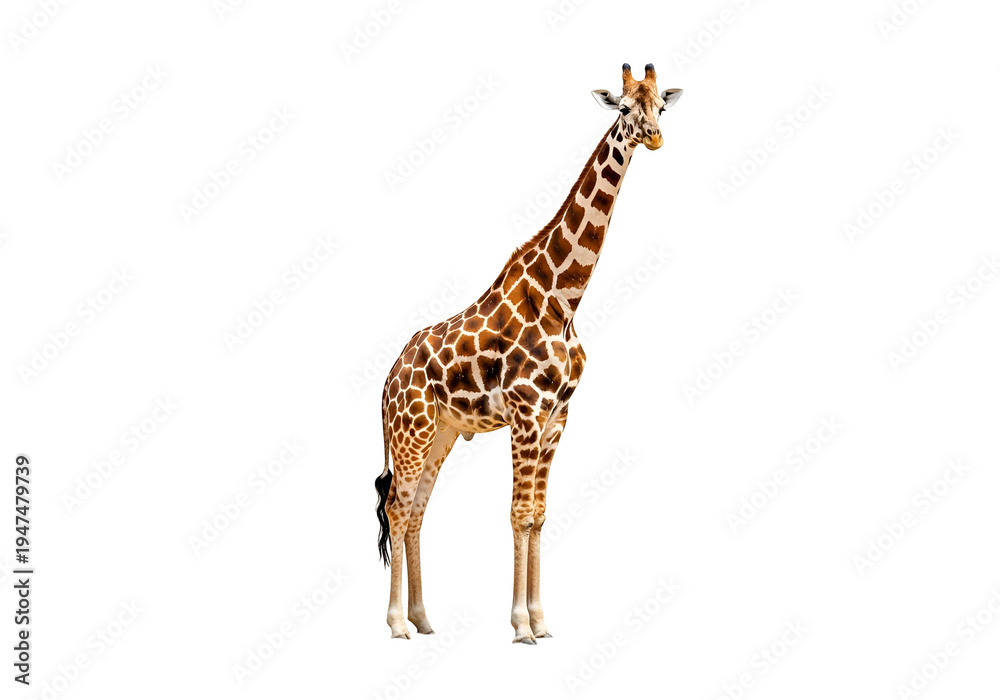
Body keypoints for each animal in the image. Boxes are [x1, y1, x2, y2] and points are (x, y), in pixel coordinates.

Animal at [375, 63, 683, 643]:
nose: (655, 138)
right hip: (412, 431)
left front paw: (542, 620)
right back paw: (397, 623)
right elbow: (518, 512)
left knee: (418, 509)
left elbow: (538, 513)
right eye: (623, 108)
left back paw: (424, 618)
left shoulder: (558, 415)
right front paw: (520, 626)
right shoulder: (525, 411)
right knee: (398, 509)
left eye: (661, 106)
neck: (563, 297)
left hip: (441, 433)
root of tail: (385, 383)